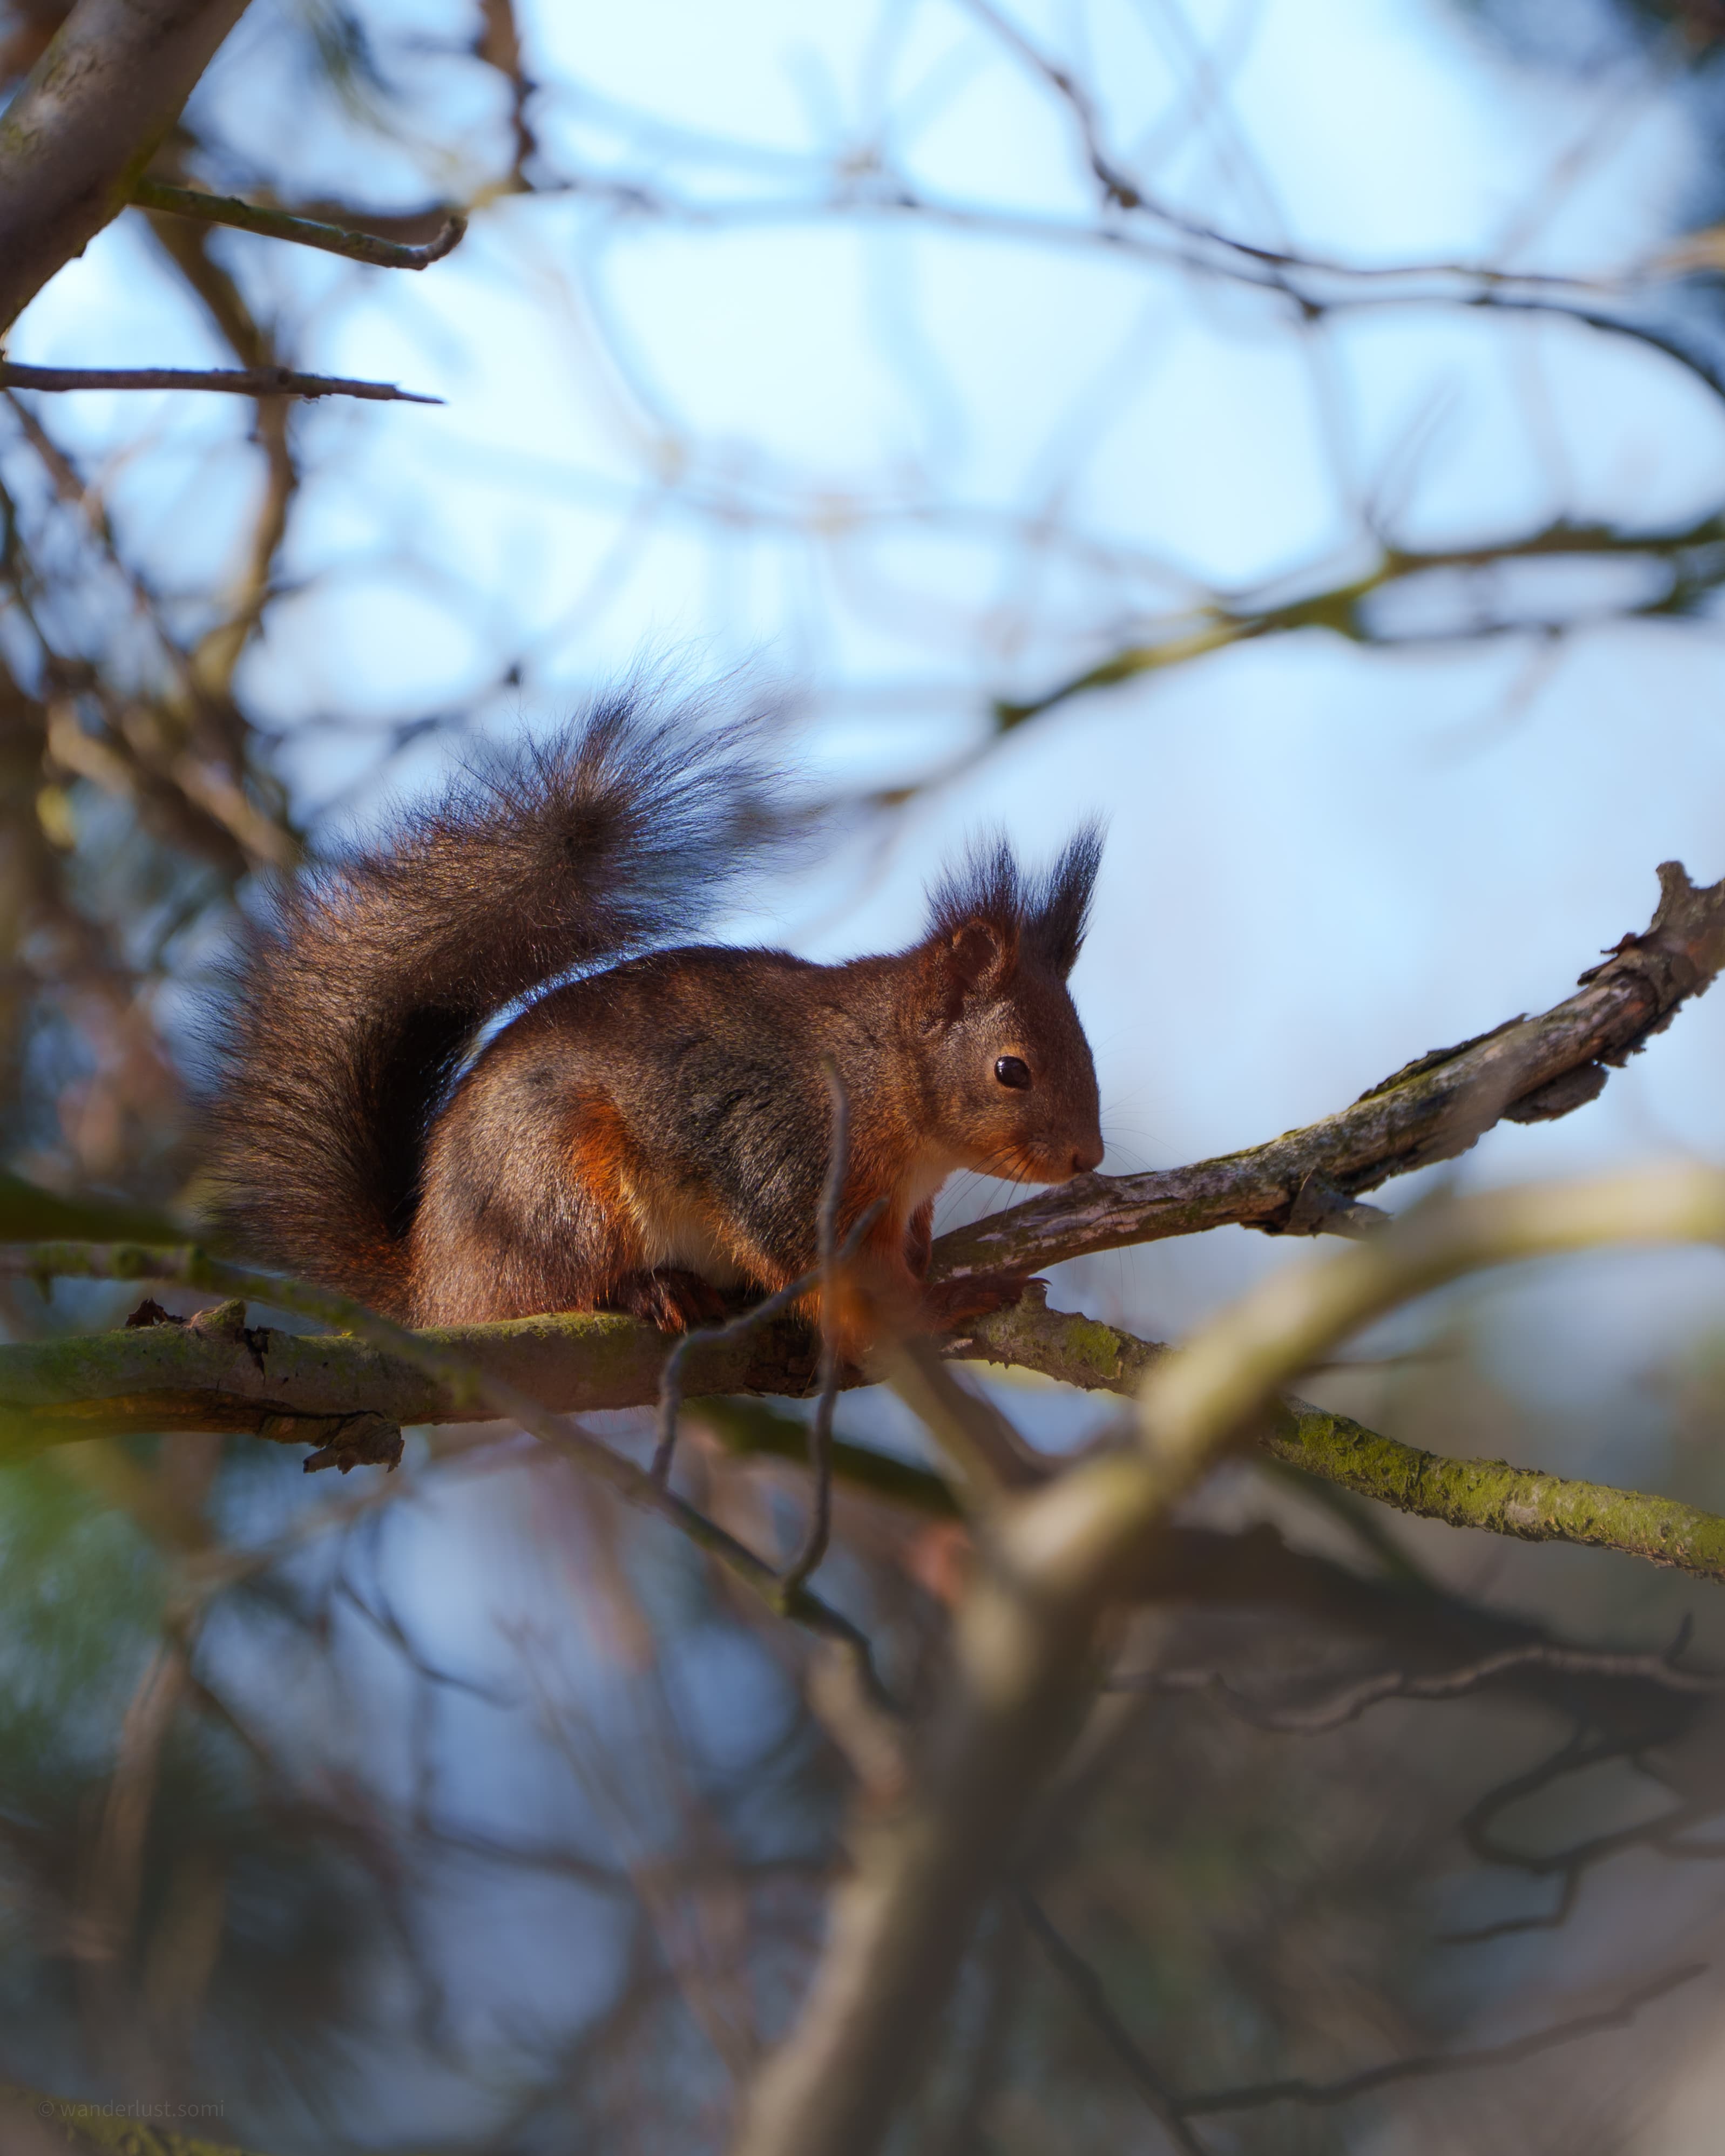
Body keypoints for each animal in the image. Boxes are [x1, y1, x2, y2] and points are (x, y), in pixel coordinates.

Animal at [203, 693, 1105, 1355]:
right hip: (558, 1187)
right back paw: (650, 1289)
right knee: (559, 1284)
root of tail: (434, 1284)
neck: (886, 1081)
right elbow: (831, 1281)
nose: (1086, 1158)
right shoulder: (785, 1155)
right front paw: (944, 1302)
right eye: (1011, 1069)